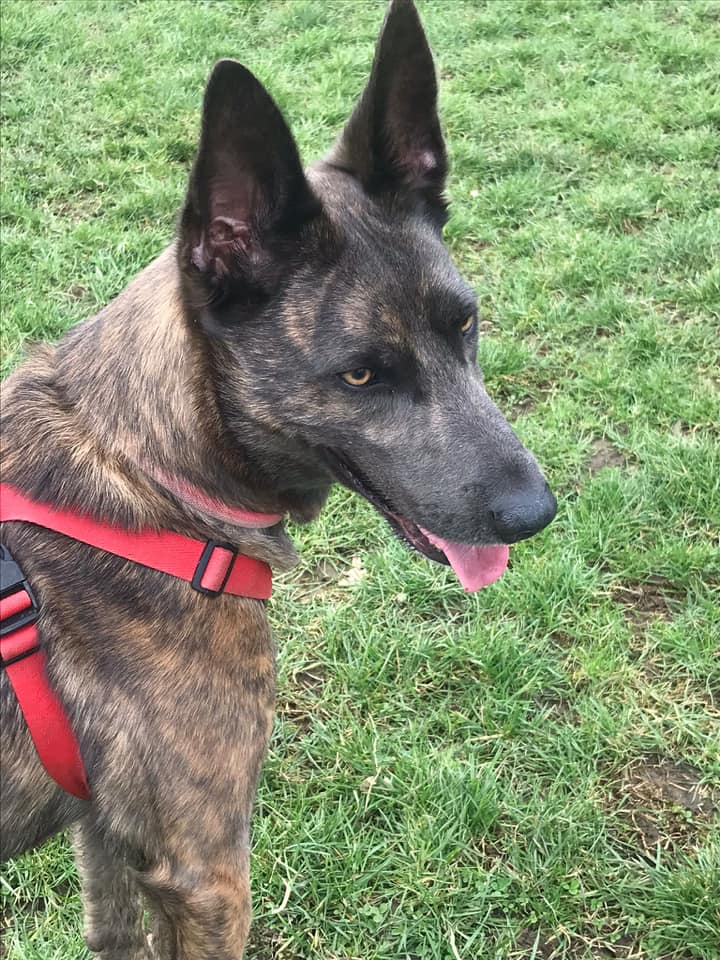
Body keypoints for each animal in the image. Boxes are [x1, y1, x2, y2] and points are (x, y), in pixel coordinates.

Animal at [0, 0, 556, 956]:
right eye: (361, 375)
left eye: (466, 323)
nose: (537, 512)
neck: (145, 474)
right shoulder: (207, 876)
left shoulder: (107, 836)